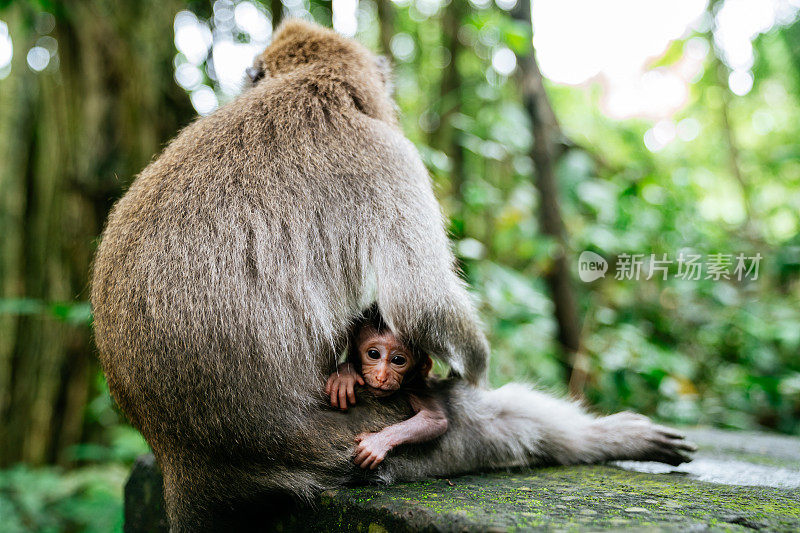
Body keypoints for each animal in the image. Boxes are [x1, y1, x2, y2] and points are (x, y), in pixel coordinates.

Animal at [326, 318, 450, 468]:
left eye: (398, 360)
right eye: (373, 354)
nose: (381, 377)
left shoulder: (417, 386)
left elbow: (433, 418)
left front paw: (377, 442)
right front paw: (345, 376)